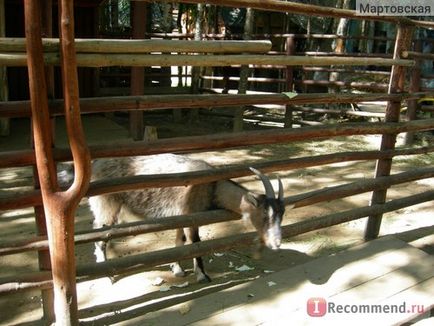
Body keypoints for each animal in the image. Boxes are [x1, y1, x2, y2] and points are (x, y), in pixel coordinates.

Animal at [60, 153, 284, 282]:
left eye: (281, 214)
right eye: (265, 214)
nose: (277, 243)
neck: (212, 185)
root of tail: (95, 164)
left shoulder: (180, 217)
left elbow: (180, 241)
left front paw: (177, 270)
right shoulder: (191, 214)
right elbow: (195, 243)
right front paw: (202, 275)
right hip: (106, 203)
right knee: (101, 234)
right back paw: (107, 275)